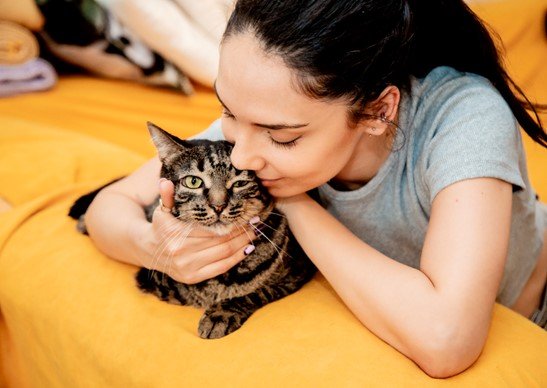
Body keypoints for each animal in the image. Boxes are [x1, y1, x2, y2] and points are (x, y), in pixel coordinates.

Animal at [69, 123, 316, 338]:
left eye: (240, 183)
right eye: (193, 182)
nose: (218, 205)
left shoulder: (296, 274)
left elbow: (255, 292)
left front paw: (220, 314)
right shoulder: (152, 277)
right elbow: (183, 291)